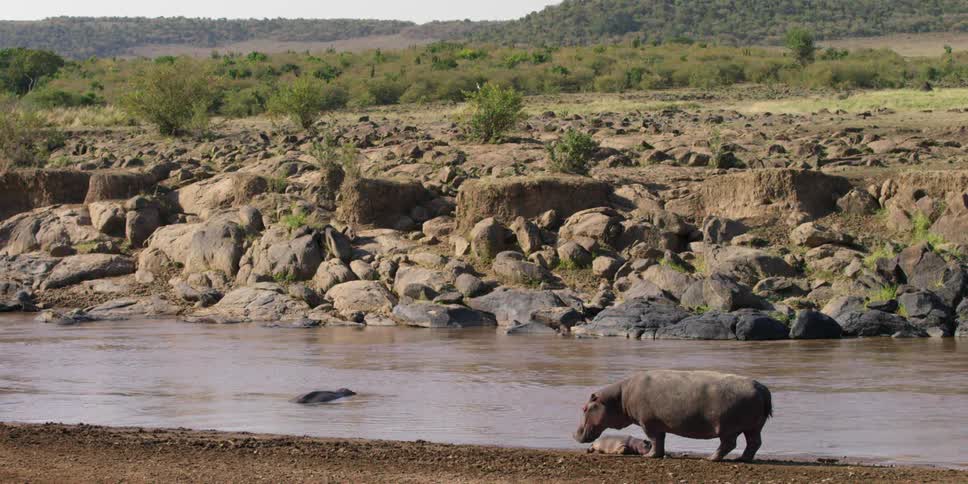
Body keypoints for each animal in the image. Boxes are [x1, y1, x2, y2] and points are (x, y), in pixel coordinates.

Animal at [574, 370, 772, 462]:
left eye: (584, 408)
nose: (574, 434)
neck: (618, 398)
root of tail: (761, 388)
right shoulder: (657, 424)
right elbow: (660, 440)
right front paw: (658, 455)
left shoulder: (648, 423)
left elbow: (654, 439)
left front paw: (649, 456)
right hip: (753, 427)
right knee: (753, 443)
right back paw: (742, 459)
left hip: (727, 428)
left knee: (729, 444)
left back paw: (710, 458)